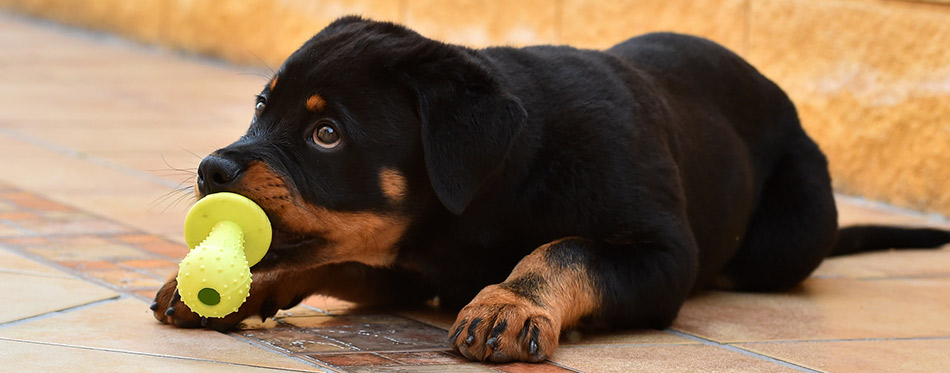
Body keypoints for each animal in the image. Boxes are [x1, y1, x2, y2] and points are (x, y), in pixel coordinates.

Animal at [151, 16, 950, 360]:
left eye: (326, 134)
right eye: (262, 106)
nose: (212, 170)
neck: (479, 206)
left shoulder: (661, 255)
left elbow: (566, 247)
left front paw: (510, 303)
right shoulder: (411, 264)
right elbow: (334, 255)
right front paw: (238, 285)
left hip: (786, 238)